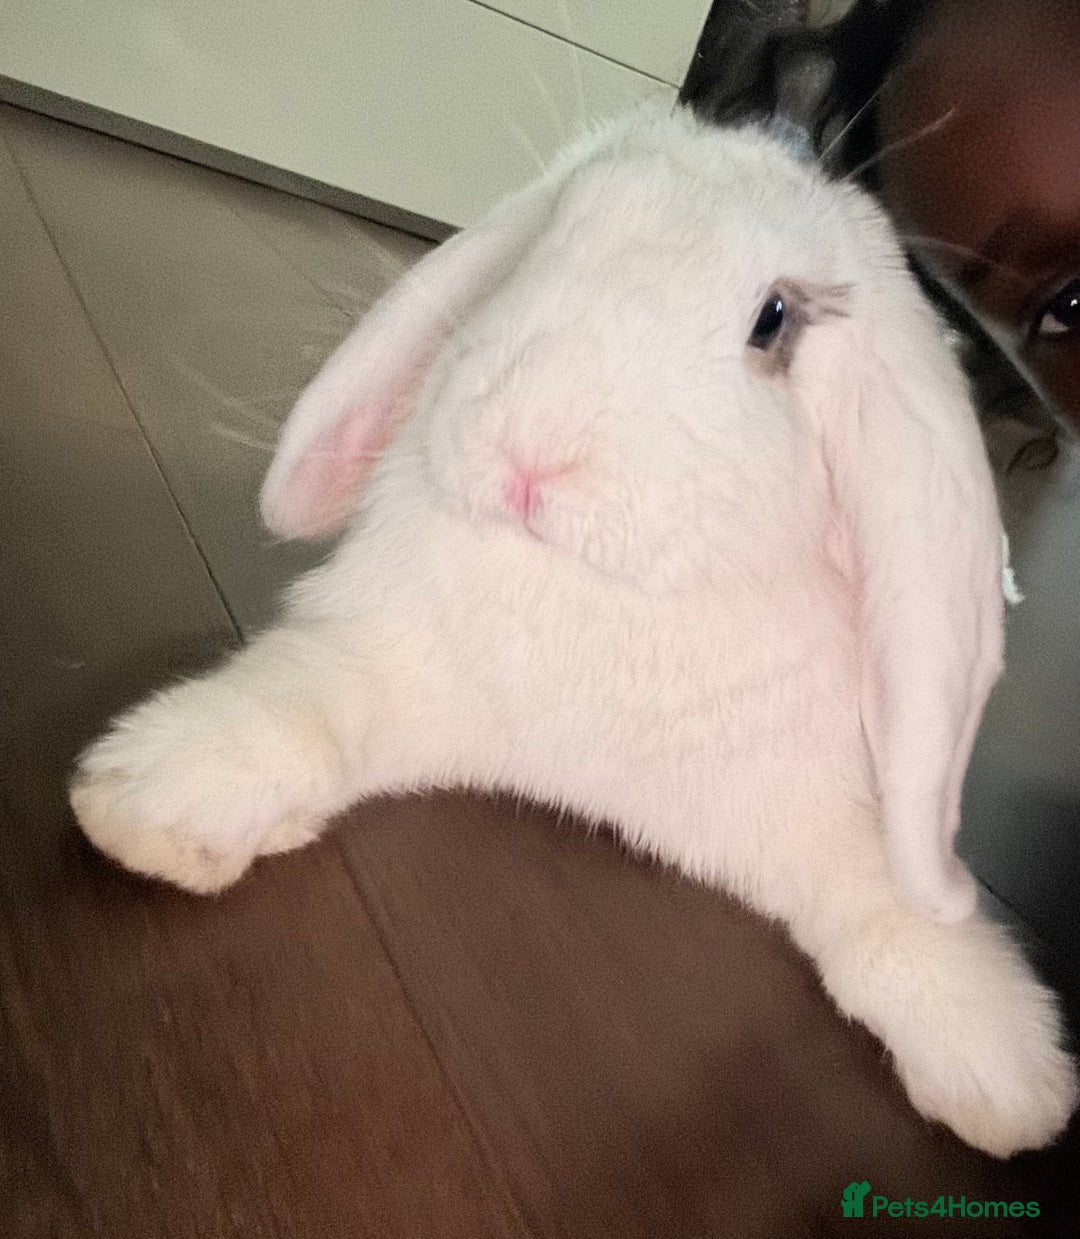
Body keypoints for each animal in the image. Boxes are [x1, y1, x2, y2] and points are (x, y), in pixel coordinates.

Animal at [70, 103, 1076, 1159]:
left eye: (774, 319)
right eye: (556, 231)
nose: (530, 451)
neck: (601, 587)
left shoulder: (821, 815)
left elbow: (893, 917)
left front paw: (1011, 1082)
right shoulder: (389, 663)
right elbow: (299, 712)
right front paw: (149, 803)